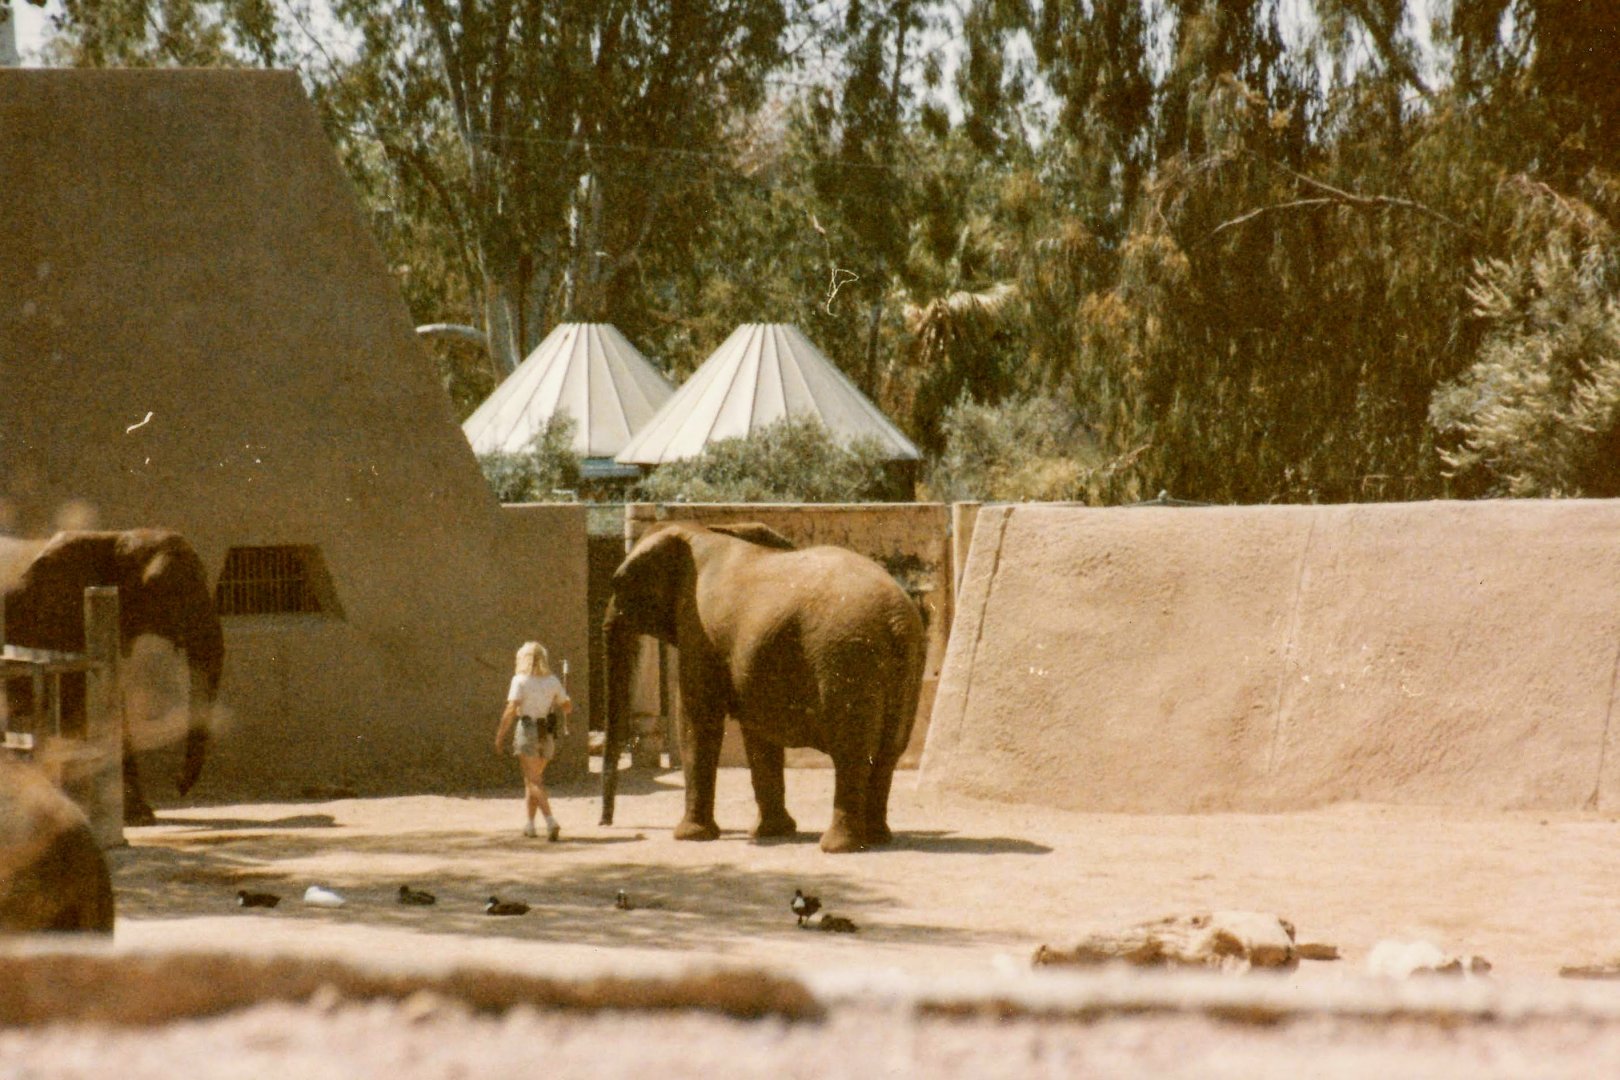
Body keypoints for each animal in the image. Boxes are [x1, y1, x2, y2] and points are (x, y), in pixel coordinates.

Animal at [3, 529, 224, 826]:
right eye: (170, 590)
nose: (179, 786)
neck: (114, 539)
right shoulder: (62, 620)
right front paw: (136, 816)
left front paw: (139, 816)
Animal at [600, 521, 925, 853]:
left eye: (618, 584)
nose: (606, 823)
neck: (699, 530)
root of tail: (897, 619)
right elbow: (758, 733)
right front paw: (771, 832)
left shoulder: (699, 629)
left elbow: (698, 718)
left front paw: (690, 837)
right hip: (902, 666)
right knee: (888, 752)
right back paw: (876, 837)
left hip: (847, 657)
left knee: (851, 751)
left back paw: (836, 847)